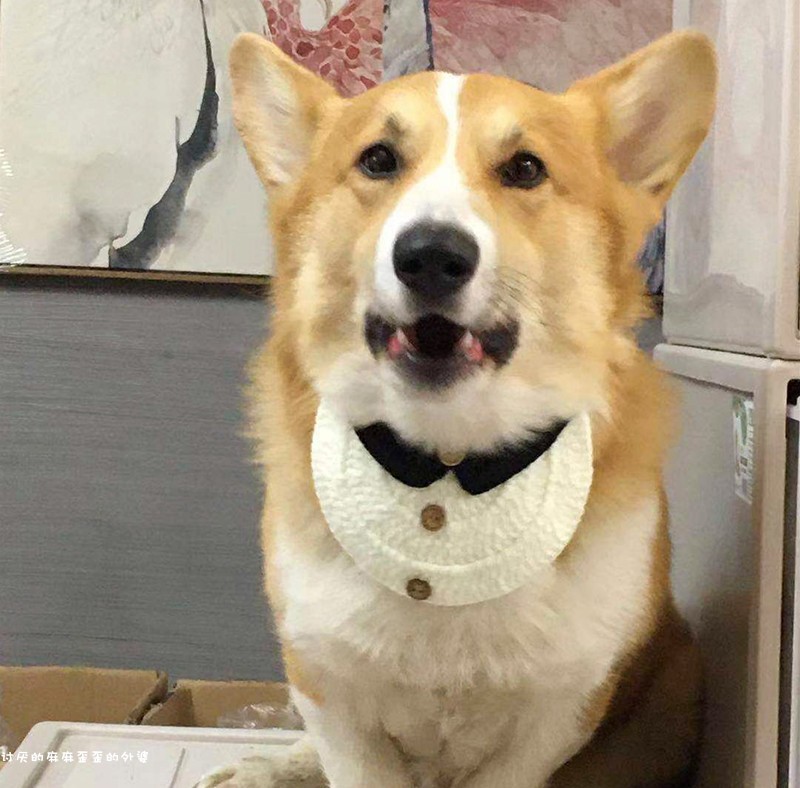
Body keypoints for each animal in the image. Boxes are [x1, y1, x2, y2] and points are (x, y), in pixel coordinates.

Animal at [199, 29, 717, 788]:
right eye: (378, 159)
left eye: (525, 168)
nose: (432, 256)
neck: (446, 460)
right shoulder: (332, 695)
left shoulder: (555, 717)